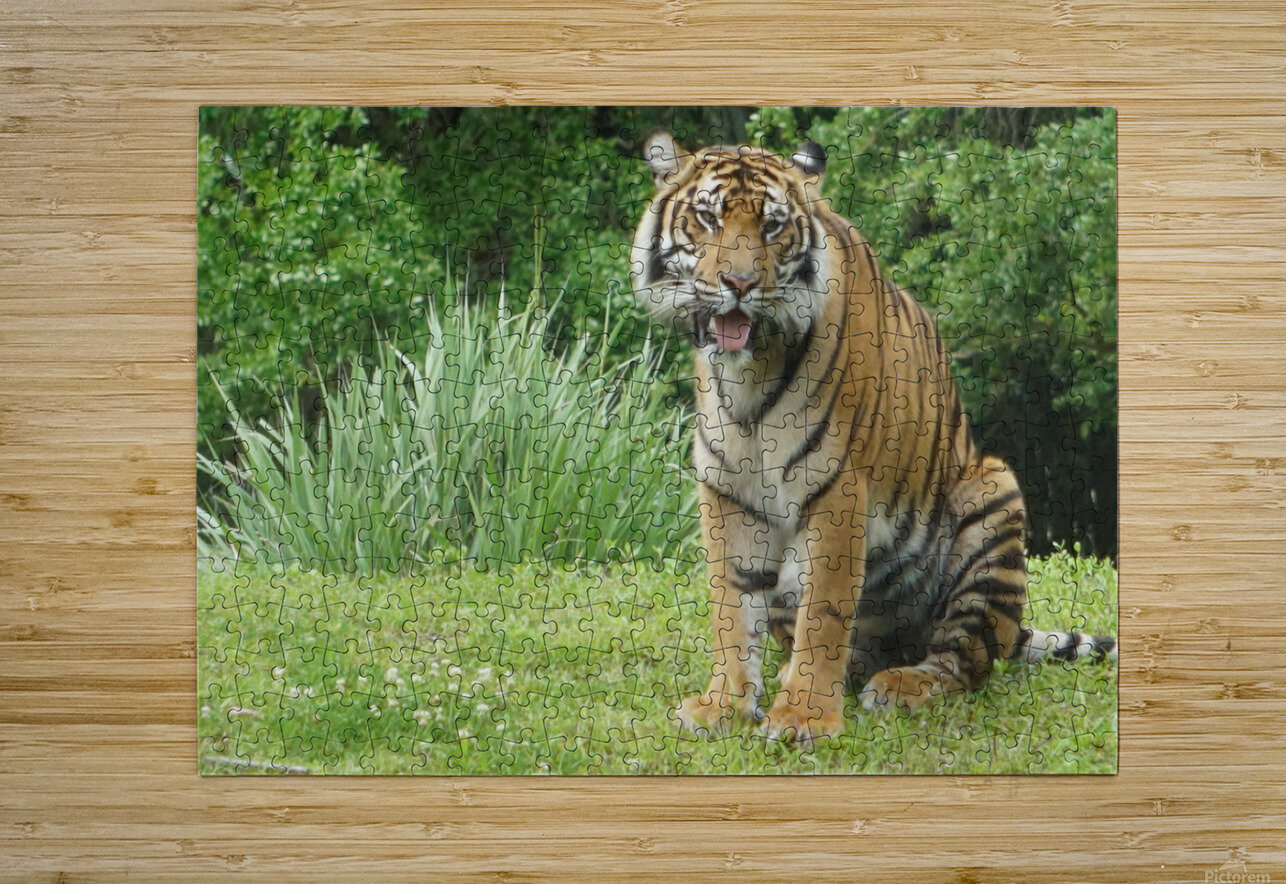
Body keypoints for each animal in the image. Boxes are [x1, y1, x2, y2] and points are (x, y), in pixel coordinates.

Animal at [630, 130, 1116, 745]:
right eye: (708, 218)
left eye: (771, 227)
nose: (737, 285)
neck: (750, 368)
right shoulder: (726, 489)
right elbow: (731, 608)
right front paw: (727, 705)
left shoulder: (838, 486)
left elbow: (824, 611)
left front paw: (803, 718)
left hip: (992, 495)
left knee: (965, 657)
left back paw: (900, 686)